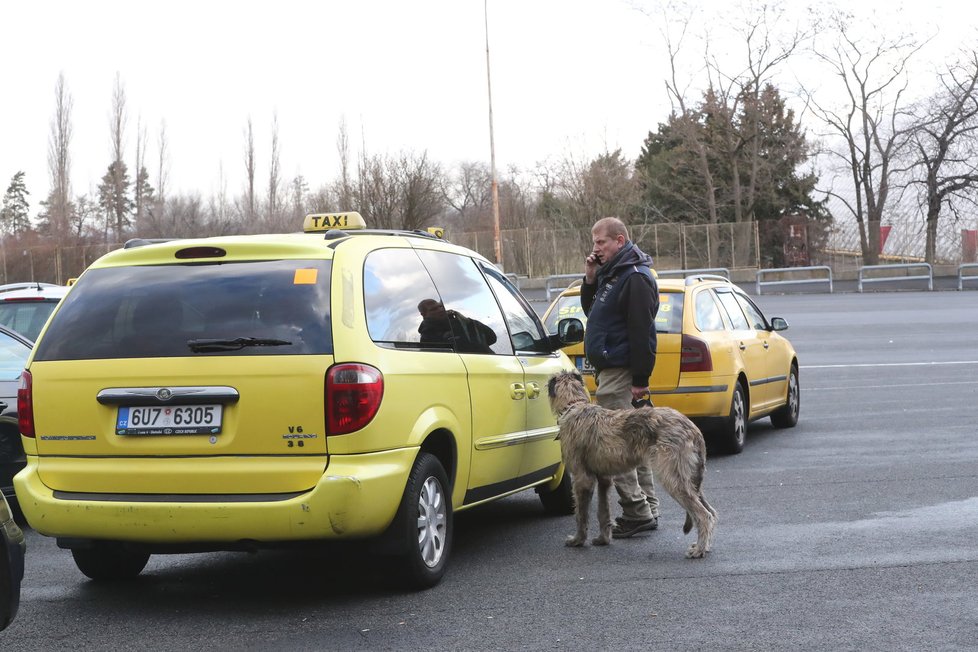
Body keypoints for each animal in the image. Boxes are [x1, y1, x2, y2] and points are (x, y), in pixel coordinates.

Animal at [548, 370, 716, 556]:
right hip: (691, 477)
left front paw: (578, 540)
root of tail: (693, 429)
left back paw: (699, 549)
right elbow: (603, 511)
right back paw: (704, 546)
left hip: (673, 476)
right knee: (710, 511)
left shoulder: (581, 479)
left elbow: (581, 514)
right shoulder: (604, 479)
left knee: (704, 515)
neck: (575, 405)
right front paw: (603, 539)